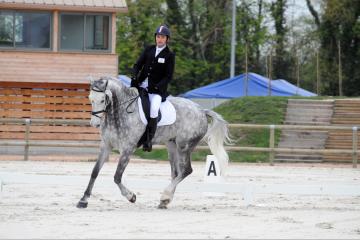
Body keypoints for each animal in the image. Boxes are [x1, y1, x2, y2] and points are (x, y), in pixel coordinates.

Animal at [77, 76, 232, 209]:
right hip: (171, 145)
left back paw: (165, 196)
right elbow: (95, 172)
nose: (94, 124)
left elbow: (117, 176)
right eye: (90, 98)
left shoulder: (127, 149)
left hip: (184, 146)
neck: (119, 113)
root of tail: (201, 110)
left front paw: (131, 196)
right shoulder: (106, 146)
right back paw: (165, 201)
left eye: (103, 100)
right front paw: (83, 200)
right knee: (176, 173)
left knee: (186, 170)